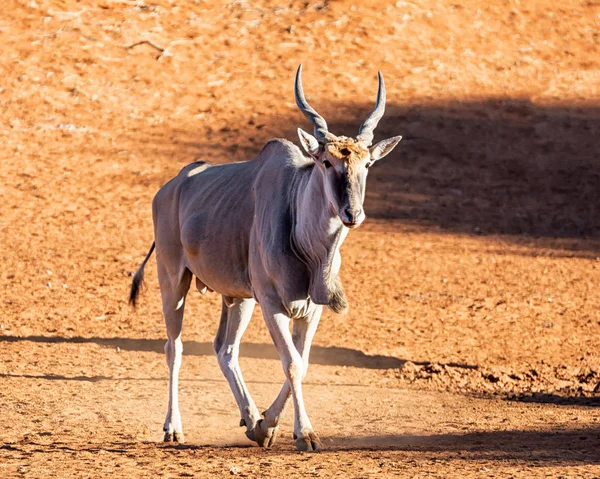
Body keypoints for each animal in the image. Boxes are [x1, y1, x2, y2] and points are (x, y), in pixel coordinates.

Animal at [131, 65, 404, 452]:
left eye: (367, 163)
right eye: (326, 161)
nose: (353, 213)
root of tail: (169, 188)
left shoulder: (310, 309)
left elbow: (301, 362)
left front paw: (265, 425)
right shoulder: (272, 303)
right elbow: (290, 363)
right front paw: (305, 434)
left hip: (238, 298)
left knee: (225, 349)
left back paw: (249, 418)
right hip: (174, 282)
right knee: (175, 347)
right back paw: (173, 428)